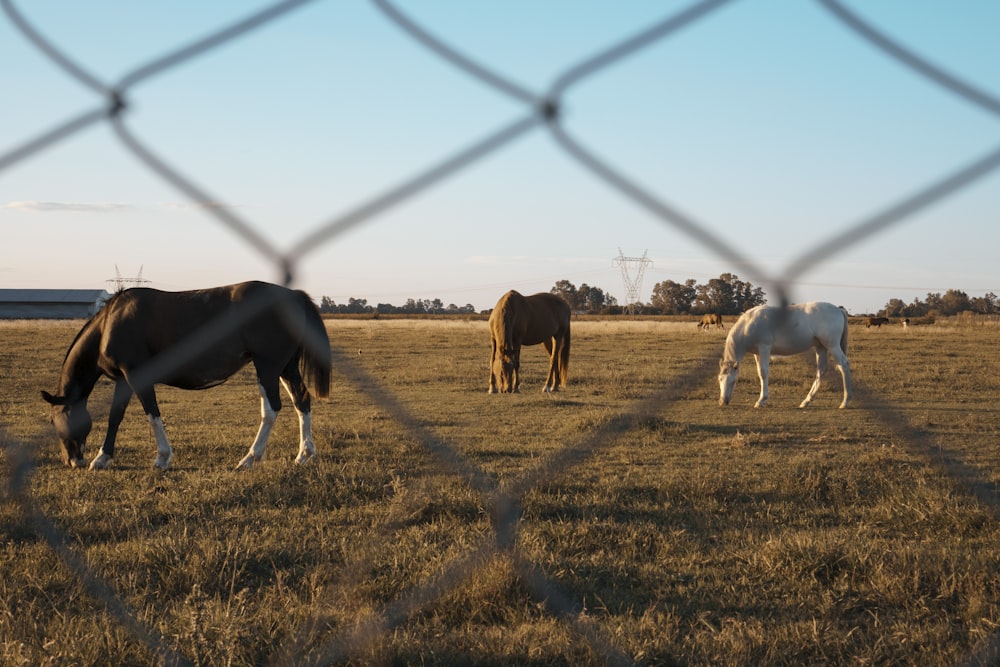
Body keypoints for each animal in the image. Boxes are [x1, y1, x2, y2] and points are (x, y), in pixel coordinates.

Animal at [42, 280, 332, 470]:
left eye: (54, 420)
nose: (72, 461)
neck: (108, 324)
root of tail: (293, 295)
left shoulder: (136, 375)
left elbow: (152, 414)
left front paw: (162, 457)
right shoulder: (123, 380)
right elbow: (116, 416)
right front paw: (102, 457)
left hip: (268, 367)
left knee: (271, 409)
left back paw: (250, 458)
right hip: (285, 367)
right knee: (302, 401)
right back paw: (304, 454)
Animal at [720, 302, 852, 408]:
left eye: (733, 381)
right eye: (720, 379)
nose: (723, 401)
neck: (749, 323)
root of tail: (838, 309)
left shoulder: (764, 347)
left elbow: (764, 373)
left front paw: (761, 400)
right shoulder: (757, 353)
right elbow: (760, 373)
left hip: (833, 346)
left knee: (844, 365)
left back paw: (845, 401)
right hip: (821, 347)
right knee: (821, 370)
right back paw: (806, 401)